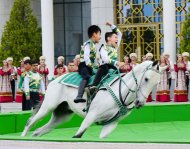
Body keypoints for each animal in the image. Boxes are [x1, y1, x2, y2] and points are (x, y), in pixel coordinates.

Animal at [21, 60, 163, 139]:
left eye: (156, 83)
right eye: (146, 79)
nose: (140, 103)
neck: (120, 92)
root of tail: (55, 80)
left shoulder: (111, 124)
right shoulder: (91, 115)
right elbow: (77, 135)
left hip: (62, 114)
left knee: (41, 130)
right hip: (48, 107)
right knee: (30, 121)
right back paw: (23, 136)